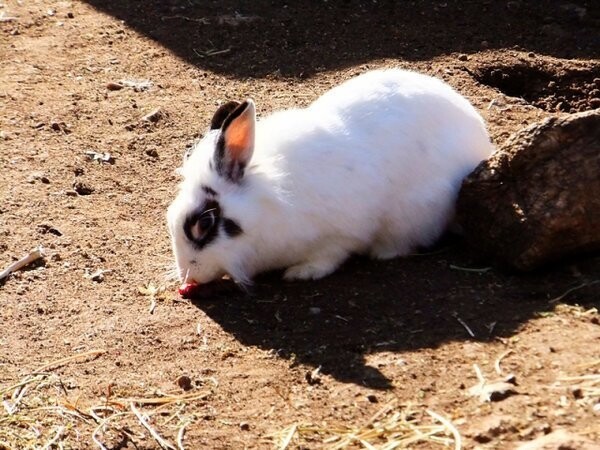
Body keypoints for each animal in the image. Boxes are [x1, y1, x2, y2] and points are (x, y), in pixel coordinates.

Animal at [165, 70, 492, 288]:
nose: (188, 277)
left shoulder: (344, 232)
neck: (267, 206)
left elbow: (332, 254)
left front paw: (302, 272)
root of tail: (483, 145)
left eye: (204, 223)